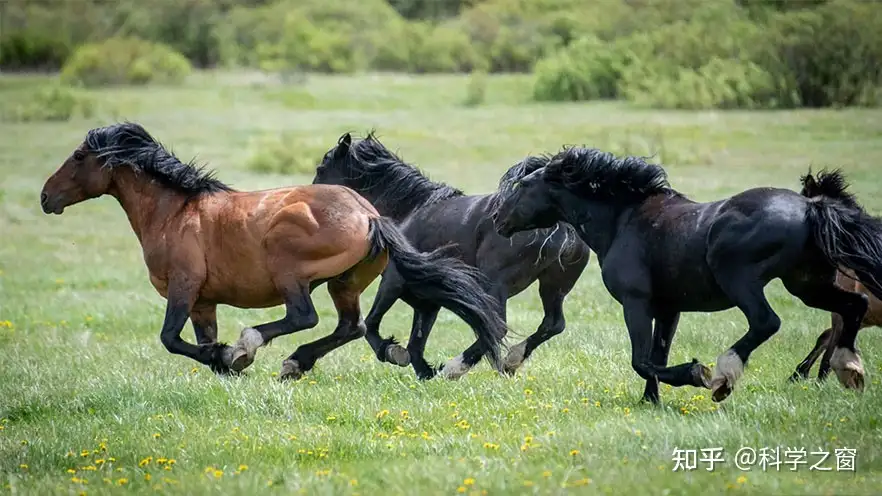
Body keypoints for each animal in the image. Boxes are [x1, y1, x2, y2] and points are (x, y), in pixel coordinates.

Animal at [39, 122, 508, 378]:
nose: (46, 197)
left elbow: (170, 338)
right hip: (345, 284)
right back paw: (297, 363)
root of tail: (370, 215)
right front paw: (223, 362)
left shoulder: (183, 287)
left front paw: (231, 356)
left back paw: (256, 345)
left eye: (78, 156)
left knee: (304, 317)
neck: (176, 212)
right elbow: (196, 340)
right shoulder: (203, 302)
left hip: (290, 272)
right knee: (350, 327)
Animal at [312, 133, 588, 380]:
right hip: (554, 285)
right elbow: (415, 345)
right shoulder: (427, 301)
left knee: (496, 326)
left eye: (321, 168)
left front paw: (393, 353)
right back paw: (511, 360)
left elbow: (372, 326)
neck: (409, 210)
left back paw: (455, 368)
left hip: (495, 284)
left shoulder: (393, 282)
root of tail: (557, 224)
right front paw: (425, 372)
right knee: (552, 324)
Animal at [492, 146, 880, 404]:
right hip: (807, 285)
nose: (497, 219)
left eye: (522, 187)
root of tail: (811, 208)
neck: (623, 220)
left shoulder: (636, 303)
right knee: (854, 305)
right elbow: (656, 357)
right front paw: (651, 402)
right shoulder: (668, 309)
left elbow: (641, 360)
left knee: (766, 322)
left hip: (741, 281)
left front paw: (696, 374)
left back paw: (723, 377)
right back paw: (850, 369)